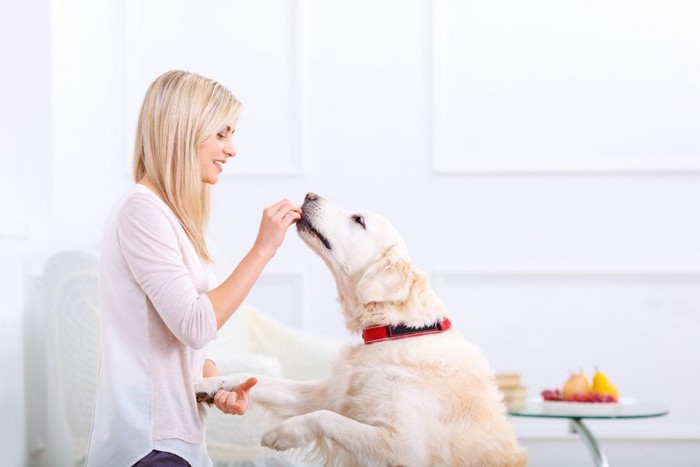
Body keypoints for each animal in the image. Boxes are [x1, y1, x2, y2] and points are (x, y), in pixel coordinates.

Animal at [194, 194, 528, 467]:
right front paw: (208, 383)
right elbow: (258, 379)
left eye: (359, 220)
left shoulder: (402, 445)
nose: (309, 195)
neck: (395, 331)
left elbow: (325, 417)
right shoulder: (326, 393)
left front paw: (283, 432)